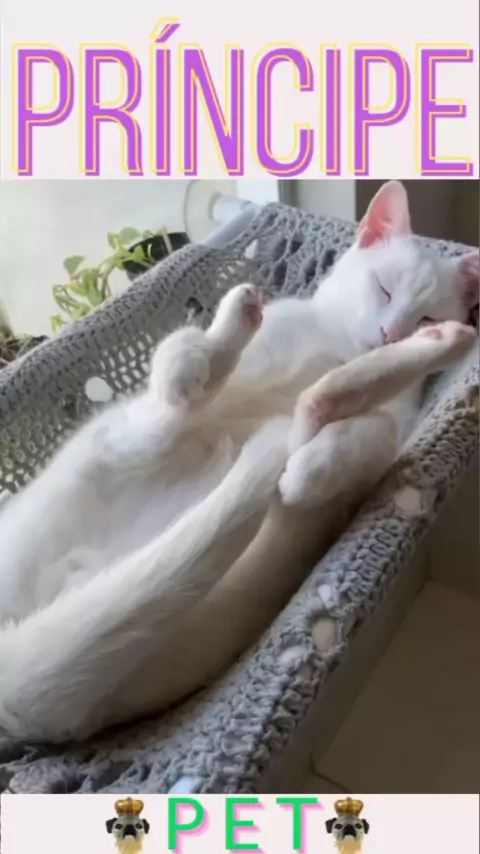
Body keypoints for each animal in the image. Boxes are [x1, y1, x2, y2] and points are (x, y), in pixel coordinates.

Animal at [0, 181, 477, 743]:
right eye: (383, 289)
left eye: (425, 313)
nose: (392, 333)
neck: (340, 347)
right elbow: (209, 384)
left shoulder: (389, 432)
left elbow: (363, 439)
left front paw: (309, 472)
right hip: (94, 455)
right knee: (168, 412)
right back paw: (229, 332)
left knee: (283, 422)